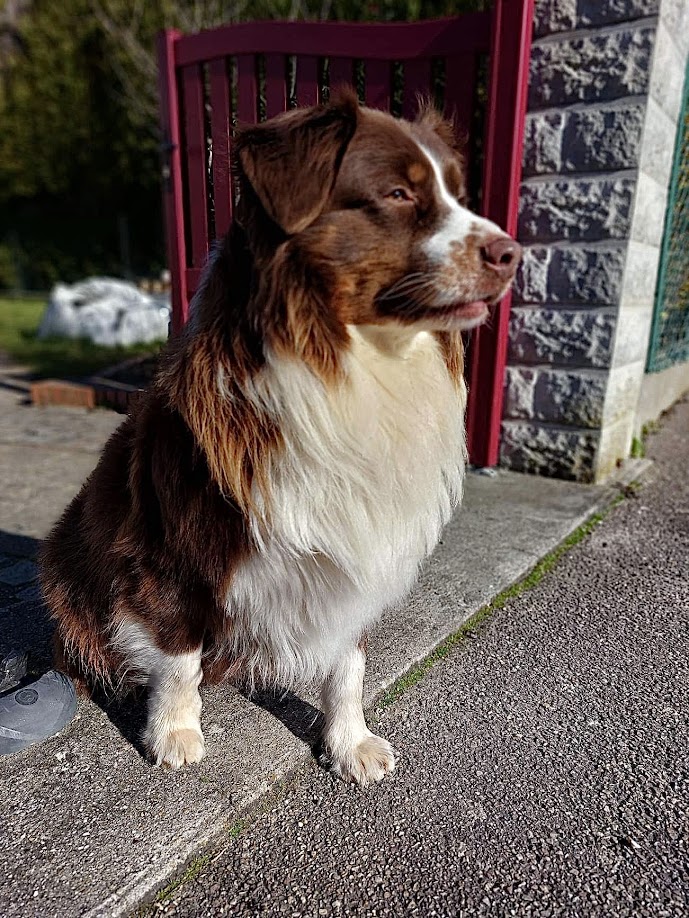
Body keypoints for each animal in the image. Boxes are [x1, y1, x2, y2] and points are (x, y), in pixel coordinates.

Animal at [40, 90, 520, 788]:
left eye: (458, 194)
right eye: (398, 193)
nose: (513, 254)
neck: (350, 364)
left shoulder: (358, 538)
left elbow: (349, 661)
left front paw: (348, 741)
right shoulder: (171, 546)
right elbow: (178, 652)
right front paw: (174, 733)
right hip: (63, 564)